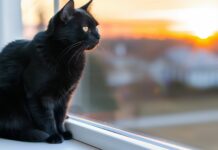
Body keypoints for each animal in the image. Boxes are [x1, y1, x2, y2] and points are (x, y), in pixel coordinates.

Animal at [0, 0, 99, 144]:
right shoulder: (39, 95)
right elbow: (46, 118)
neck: (68, 56)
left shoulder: (65, 96)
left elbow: (60, 116)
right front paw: (53, 135)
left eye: (97, 27)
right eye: (85, 28)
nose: (98, 36)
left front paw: (62, 132)